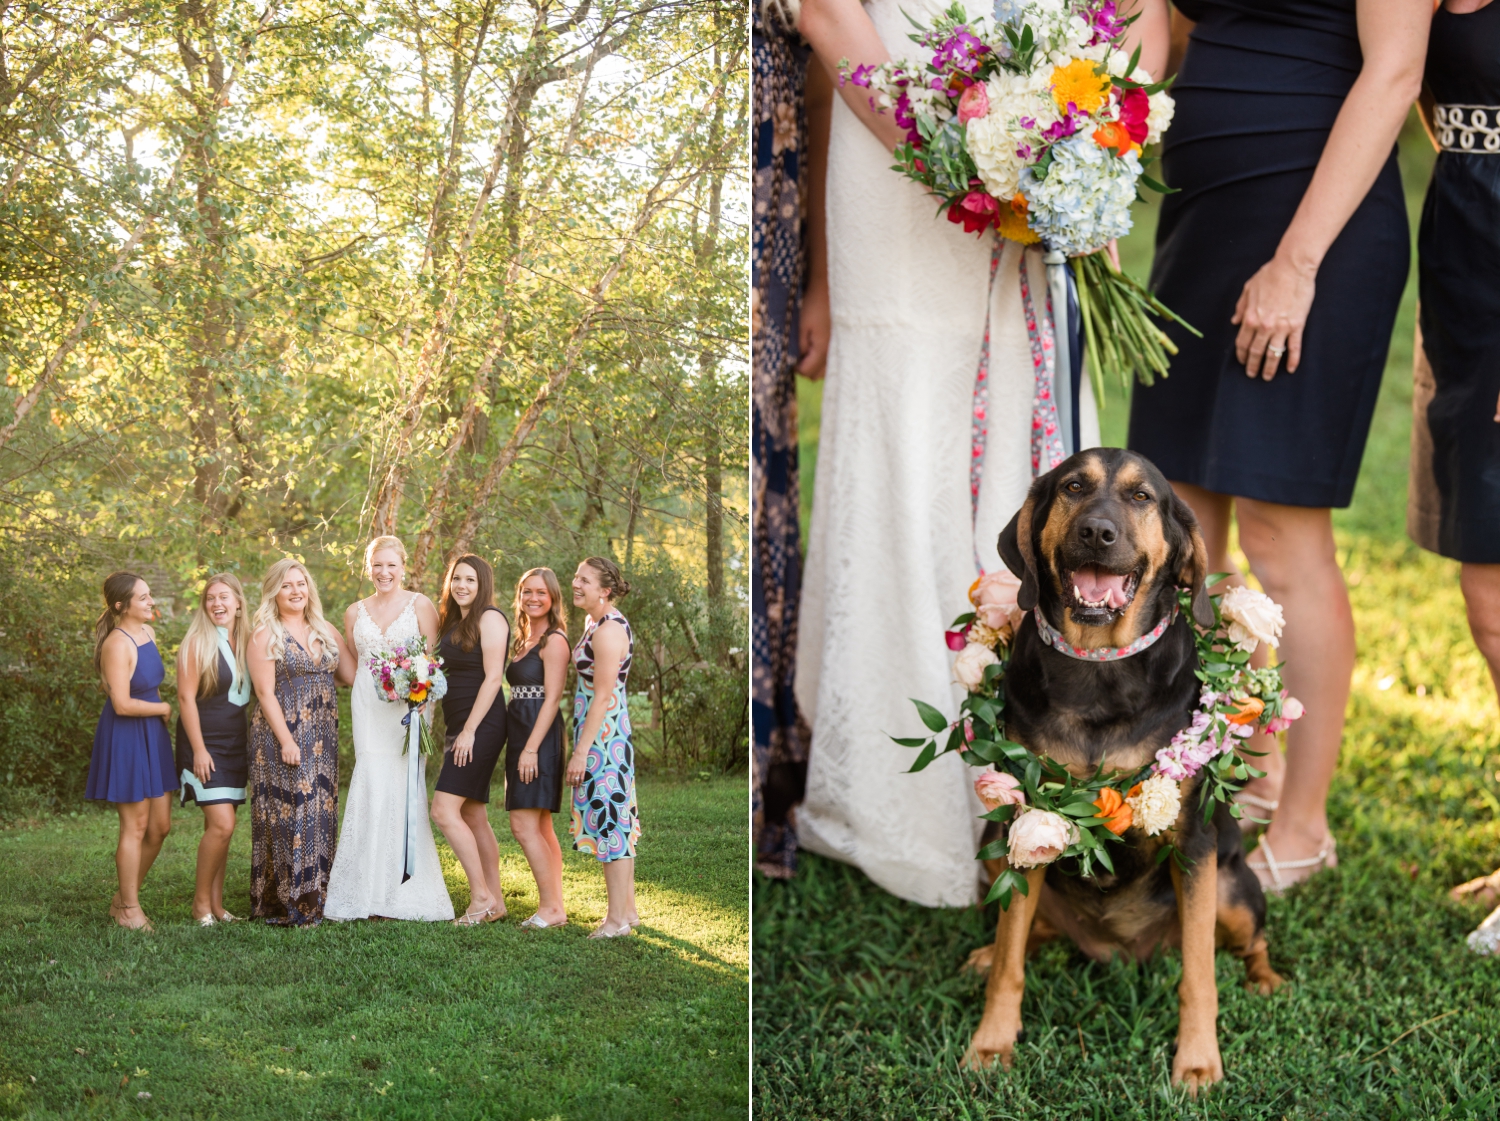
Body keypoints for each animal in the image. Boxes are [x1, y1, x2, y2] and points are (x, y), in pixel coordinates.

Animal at [966, 450, 1284, 1098]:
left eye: (1142, 497)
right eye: (1072, 487)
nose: (1096, 532)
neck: (1097, 667)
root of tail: (1118, 950)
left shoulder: (1194, 844)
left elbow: (1199, 972)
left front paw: (1197, 1061)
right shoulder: (1024, 824)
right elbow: (1012, 961)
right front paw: (991, 1044)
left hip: (1232, 887)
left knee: (1249, 939)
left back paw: (1264, 979)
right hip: (993, 844)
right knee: (1028, 931)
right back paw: (989, 953)